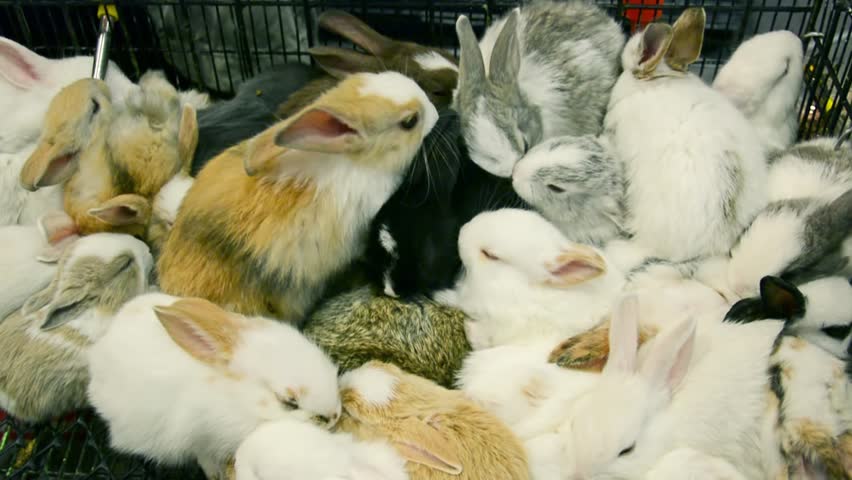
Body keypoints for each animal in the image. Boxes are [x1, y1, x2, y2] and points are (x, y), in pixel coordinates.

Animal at [87, 292, 342, 478]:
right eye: (289, 402)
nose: (335, 416)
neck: (238, 399)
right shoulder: (199, 438)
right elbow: (205, 458)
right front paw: (215, 474)